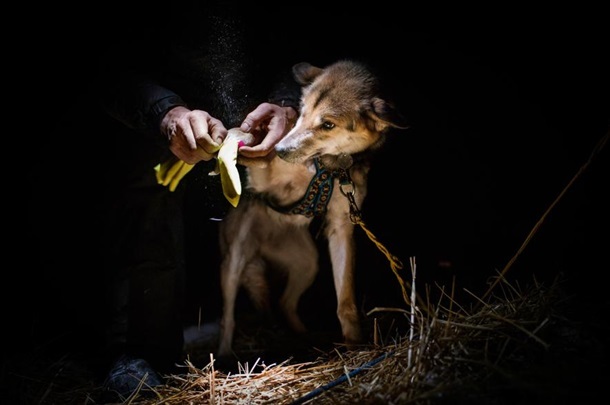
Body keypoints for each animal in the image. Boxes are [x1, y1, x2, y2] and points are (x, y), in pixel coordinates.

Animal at [216, 58, 406, 356]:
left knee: (284, 304)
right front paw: (240, 142)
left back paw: (305, 337)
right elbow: (258, 158)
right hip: (234, 261)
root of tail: (264, 245)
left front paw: (354, 344)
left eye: (328, 124)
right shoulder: (264, 179)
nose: (281, 149)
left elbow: (346, 302)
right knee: (228, 319)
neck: (327, 166)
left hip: (308, 264)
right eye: (302, 112)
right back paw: (224, 356)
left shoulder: (342, 227)